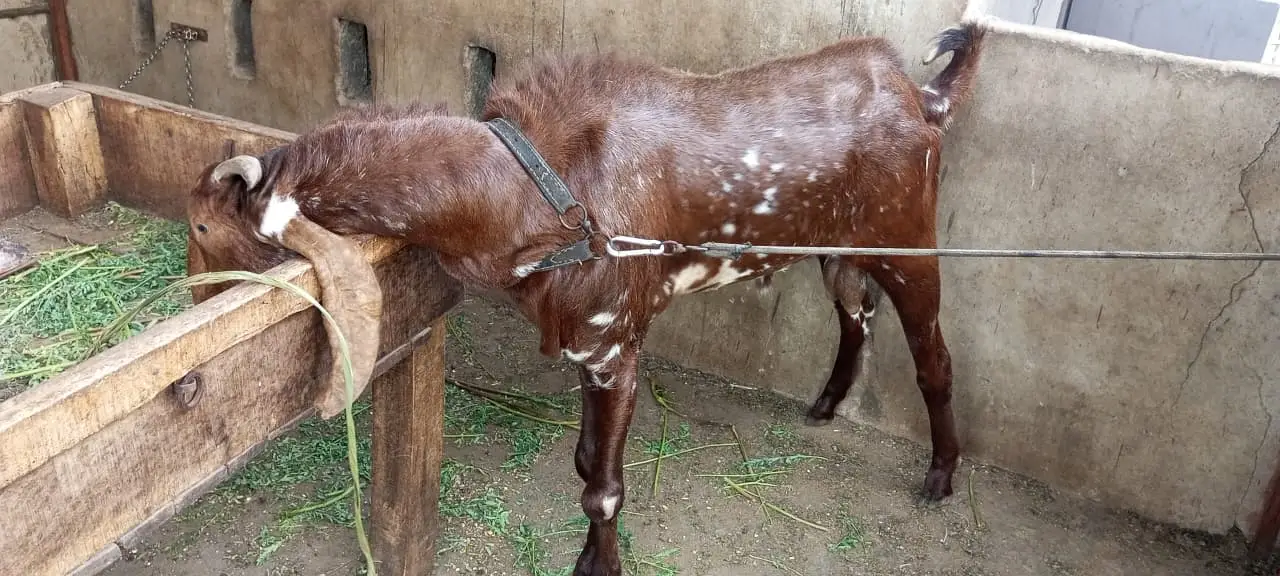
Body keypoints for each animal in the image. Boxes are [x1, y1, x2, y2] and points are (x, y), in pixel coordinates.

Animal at [184, 22, 986, 576]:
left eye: (201, 223)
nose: (196, 289)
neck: (535, 189)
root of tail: (925, 97)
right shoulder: (581, 341)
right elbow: (584, 459)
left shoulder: (616, 344)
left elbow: (603, 487)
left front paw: (598, 563)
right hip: (838, 251)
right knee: (855, 317)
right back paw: (823, 405)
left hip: (911, 243)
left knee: (935, 358)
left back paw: (940, 475)